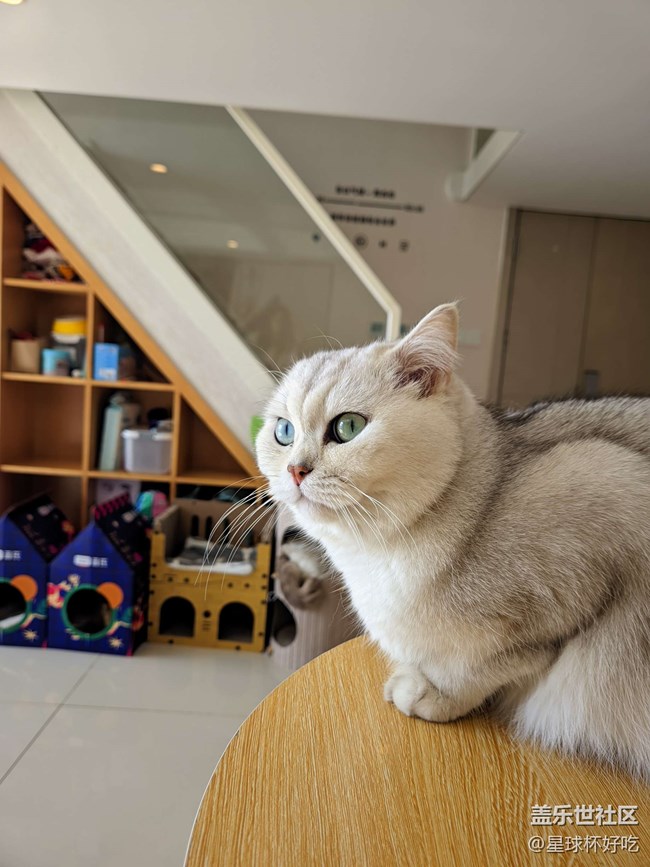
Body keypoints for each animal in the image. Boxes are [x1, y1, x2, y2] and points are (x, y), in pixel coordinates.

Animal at [256, 302, 650, 781]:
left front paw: (433, 695)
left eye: (348, 427)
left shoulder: (603, 502)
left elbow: (489, 665)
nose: (295, 470)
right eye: (283, 432)